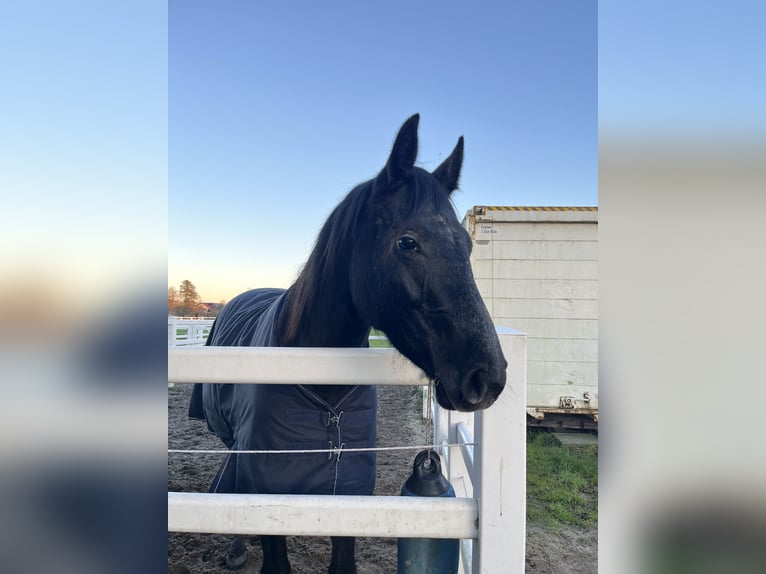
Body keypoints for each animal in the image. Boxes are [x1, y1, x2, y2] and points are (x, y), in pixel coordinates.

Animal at [189, 114, 507, 574]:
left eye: (465, 245)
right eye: (408, 242)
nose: (488, 376)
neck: (321, 385)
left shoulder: (350, 495)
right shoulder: (271, 491)